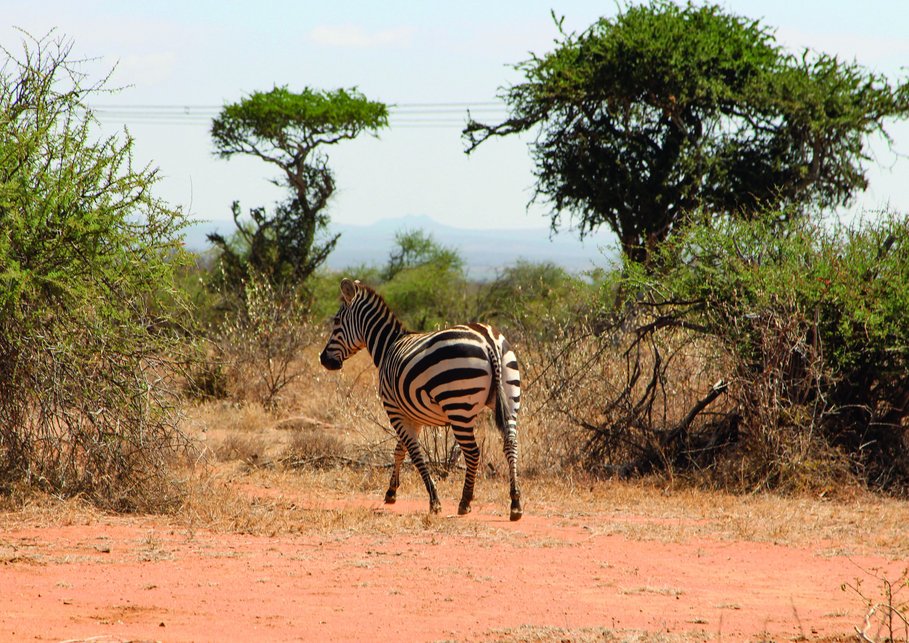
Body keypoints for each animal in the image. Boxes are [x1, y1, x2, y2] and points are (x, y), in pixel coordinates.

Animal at [319, 278, 523, 521]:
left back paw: (465, 502)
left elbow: (415, 454)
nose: (323, 359)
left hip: (458, 406)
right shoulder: (412, 415)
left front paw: (434, 501)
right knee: (510, 443)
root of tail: (488, 340)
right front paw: (391, 492)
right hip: (510, 395)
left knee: (473, 452)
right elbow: (400, 450)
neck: (388, 347)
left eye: (337, 322)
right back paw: (515, 504)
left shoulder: (394, 410)